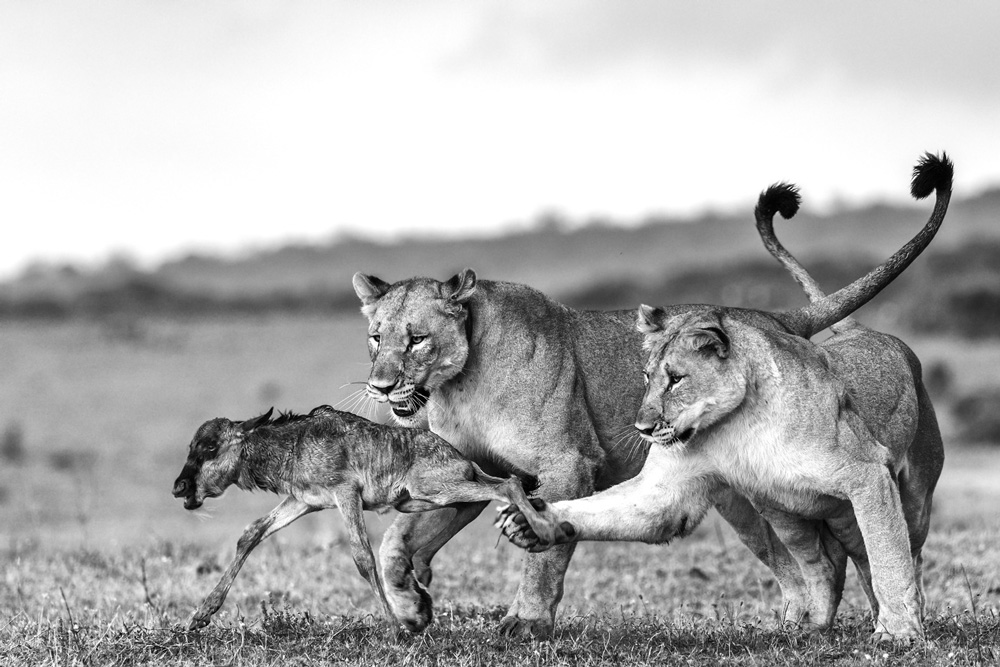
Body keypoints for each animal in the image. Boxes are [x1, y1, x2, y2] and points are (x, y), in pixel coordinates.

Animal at [174, 408, 564, 632]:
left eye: (211, 448)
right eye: (191, 447)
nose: (179, 487)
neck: (294, 444)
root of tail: (460, 457)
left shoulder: (346, 494)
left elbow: (362, 557)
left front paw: (396, 628)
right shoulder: (304, 501)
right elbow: (251, 533)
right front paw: (202, 615)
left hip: (434, 488)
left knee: (507, 486)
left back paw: (546, 530)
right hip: (417, 500)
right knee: (483, 498)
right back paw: (420, 579)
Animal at [354, 151, 952, 636]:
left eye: (417, 340)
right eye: (376, 338)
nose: (380, 386)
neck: (461, 383)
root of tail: (772, 318)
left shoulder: (570, 463)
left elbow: (545, 559)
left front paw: (526, 621)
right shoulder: (469, 468)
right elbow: (397, 540)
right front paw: (410, 606)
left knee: (850, 549)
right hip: (749, 501)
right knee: (811, 559)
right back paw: (797, 627)